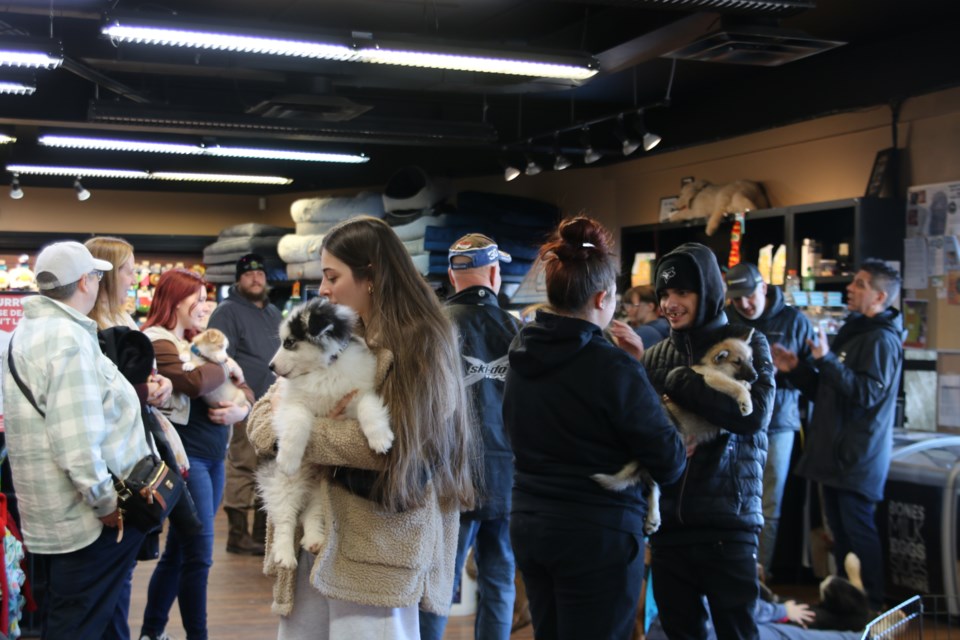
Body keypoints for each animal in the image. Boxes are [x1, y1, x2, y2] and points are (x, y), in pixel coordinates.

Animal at [255, 296, 394, 568]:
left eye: (289, 342)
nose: (271, 366)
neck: (323, 370)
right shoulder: (292, 404)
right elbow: (298, 425)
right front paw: (288, 458)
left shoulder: (357, 394)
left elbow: (369, 407)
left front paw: (380, 438)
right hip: (284, 485)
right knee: (286, 519)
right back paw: (285, 554)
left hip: (322, 488)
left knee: (311, 514)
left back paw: (314, 540)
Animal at [592, 330, 756, 536]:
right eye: (737, 362)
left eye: (751, 360)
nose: (756, 375)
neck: (715, 368)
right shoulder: (712, 379)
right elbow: (736, 385)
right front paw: (746, 402)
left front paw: (746, 387)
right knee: (653, 484)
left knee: (653, 485)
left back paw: (653, 518)